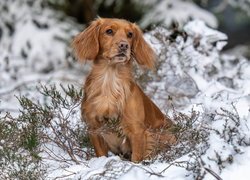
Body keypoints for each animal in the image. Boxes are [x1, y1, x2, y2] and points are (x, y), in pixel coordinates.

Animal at [72, 17, 176, 162]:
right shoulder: (94, 128)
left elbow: (136, 159)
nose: (124, 45)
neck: (110, 81)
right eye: (109, 31)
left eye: (130, 34)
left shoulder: (137, 131)